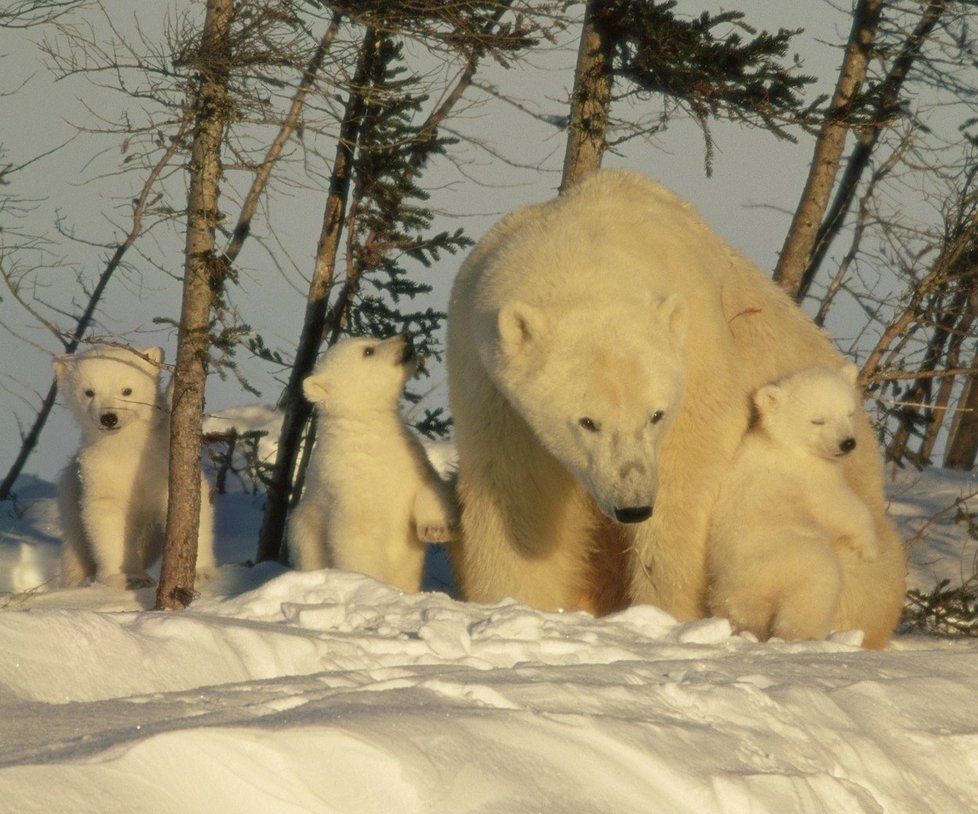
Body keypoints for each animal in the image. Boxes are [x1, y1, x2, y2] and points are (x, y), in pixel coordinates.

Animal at [53, 346, 215, 592]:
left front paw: (202, 573)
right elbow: (106, 516)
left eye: (127, 390)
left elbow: (192, 506)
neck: (129, 447)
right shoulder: (100, 470)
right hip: (70, 498)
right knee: (76, 550)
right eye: (89, 392)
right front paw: (128, 577)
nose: (109, 417)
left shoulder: (162, 465)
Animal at [288, 334, 460, 592]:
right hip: (303, 537)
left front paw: (437, 529)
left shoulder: (409, 458)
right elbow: (359, 539)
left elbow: (428, 487)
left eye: (374, 339)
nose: (405, 336)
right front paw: (371, 583)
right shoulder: (348, 486)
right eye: (368, 351)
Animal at [708, 364, 876, 644]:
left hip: (731, 593)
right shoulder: (810, 477)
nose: (848, 443)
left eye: (849, 412)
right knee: (815, 591)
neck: (783, 444)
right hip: (797, 560)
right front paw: (868, 548)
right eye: (818, 420)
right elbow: (841, 507)